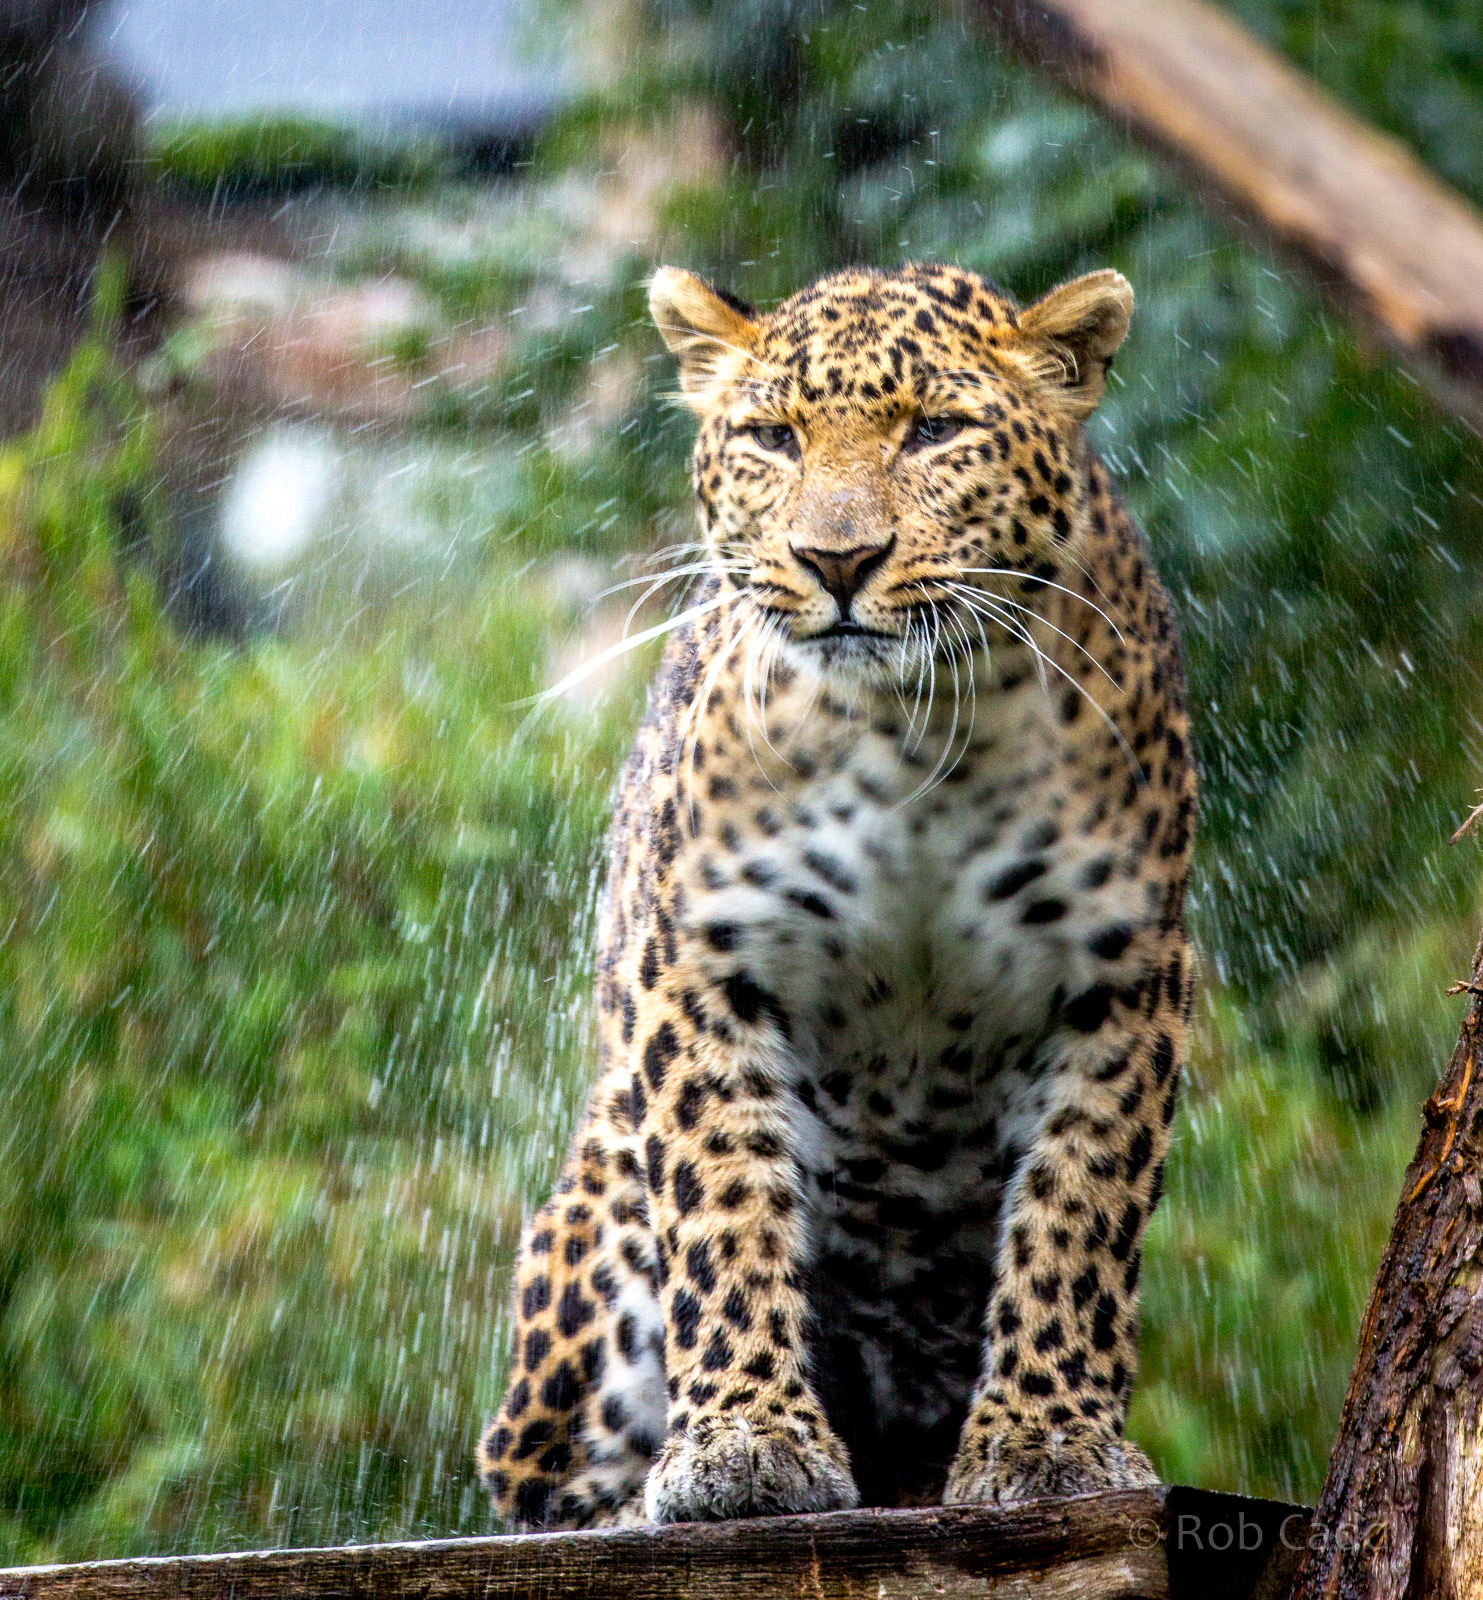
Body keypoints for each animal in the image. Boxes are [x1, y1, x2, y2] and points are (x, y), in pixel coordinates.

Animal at [477, 259, 1195, 1530]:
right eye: (773, 437)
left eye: (935, 431)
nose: (837, 559)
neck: (913, 736)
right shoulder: (706, 961)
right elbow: (722, 1201)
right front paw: (742, 1447)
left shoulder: (1123, 977)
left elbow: (1077, 1217)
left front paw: (1049, 1438)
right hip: (593, 1208)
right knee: (538, 1482)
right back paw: (635, 1500)